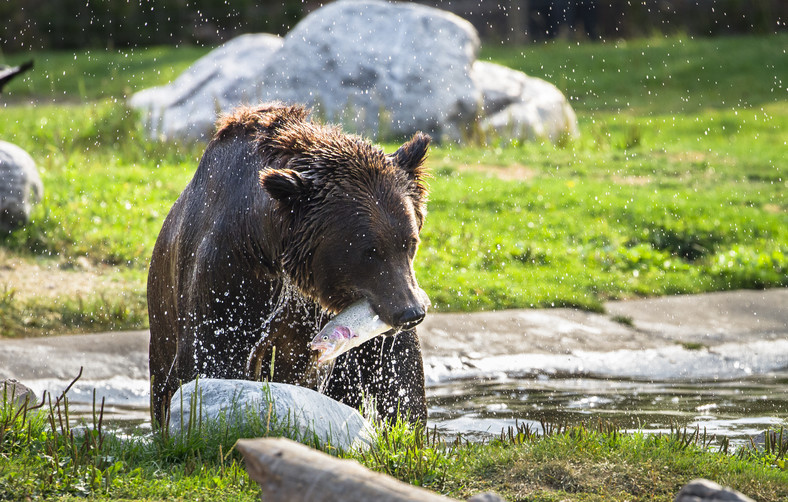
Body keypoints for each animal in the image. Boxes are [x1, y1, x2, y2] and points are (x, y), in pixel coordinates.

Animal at [148, 104, 430, 426]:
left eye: (410, 242)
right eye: (369, 252)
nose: (411, 313)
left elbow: (398, 375)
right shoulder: (227, 274)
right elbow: (211, 355)